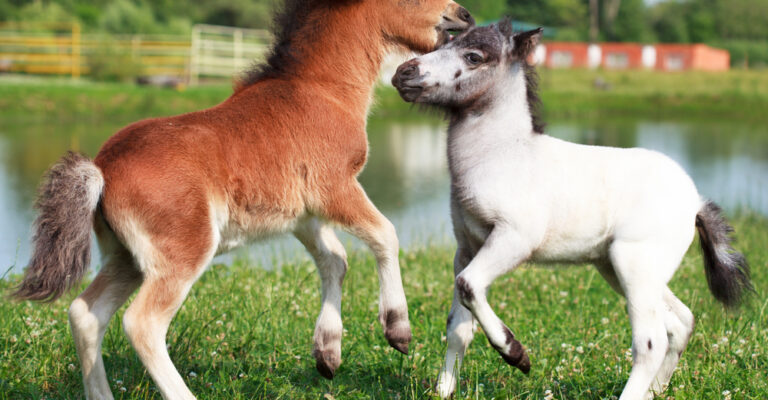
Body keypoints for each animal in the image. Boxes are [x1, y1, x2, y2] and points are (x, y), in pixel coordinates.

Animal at [12, 1, 474, 399]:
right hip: (183, 252)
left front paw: (327, 353)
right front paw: (397, 329)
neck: (321, 90)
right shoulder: (336, 187)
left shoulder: (302, 214)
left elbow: (335, 260)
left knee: (86, 314)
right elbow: (385, 235)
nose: (464, 14)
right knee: (141, 323)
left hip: (126, 257)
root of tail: (100, 169)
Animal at [391, 20, 752, 400]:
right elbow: (458, 329)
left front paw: (515, 354)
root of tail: (696, 202)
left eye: (474, 56)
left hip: (635, 265)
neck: (502, 155)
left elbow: (470, 285)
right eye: (445, 41)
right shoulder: (466, 248)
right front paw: (444, 391)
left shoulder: (515, 238)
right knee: (680, 321)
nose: (403, 72)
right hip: (621, 268)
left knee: (650, 341)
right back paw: (655, 390)